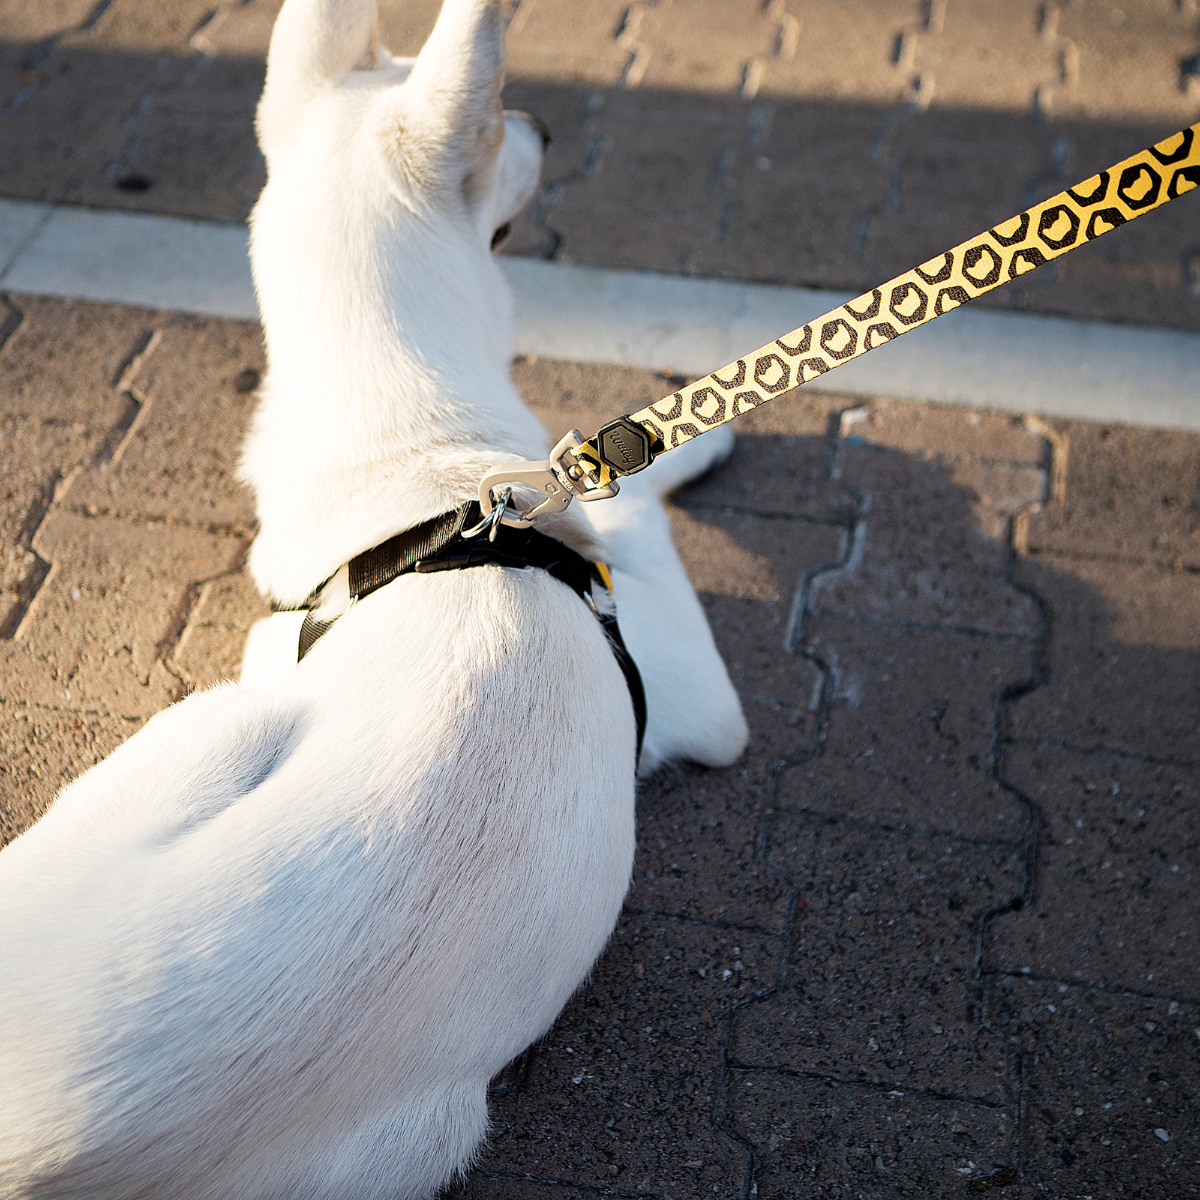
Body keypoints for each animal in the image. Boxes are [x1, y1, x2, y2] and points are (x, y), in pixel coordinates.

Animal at [0, 0, 744, 1195]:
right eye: (498, 122)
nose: (544, 120)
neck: (418, 445)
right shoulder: (698, 696)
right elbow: (620, 490)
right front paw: (683, 433)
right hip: (223, 723)